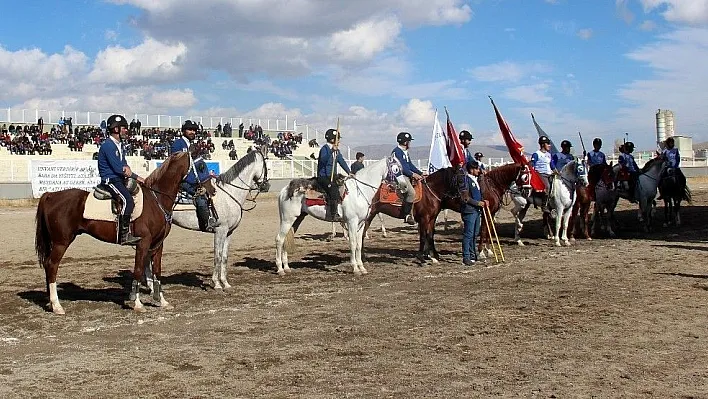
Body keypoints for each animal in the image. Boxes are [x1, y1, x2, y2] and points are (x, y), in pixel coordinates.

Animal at [34, 152, 191, 314]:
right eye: (198, 165)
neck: (155, 200)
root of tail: (51, 195)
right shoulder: (143, 243)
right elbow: (138, 270)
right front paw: (137, 303)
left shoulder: (157, 244)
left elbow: (157, 271)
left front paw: (162, 301)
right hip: (61, 242)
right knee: (52, 265)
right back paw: (57, 305)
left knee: (47, 265)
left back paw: (50, 303)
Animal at [148, 148, 270, 290]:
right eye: (266, 165)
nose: (267, 186)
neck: (229, 194)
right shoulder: (220, 231)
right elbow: (217, 256)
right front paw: (216, 283)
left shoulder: (229, 232)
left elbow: (224, 257)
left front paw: (225, 283)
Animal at [274, 158, 402, 276]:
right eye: (396, 169)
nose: (403, 185)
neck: (359, 191)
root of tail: (285, 190)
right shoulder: (352, 222)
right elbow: (353, 243)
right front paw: (355, 268)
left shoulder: (360, 224)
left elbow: (359, 245)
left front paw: (362, 268)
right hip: (287, 219)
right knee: (279, 239)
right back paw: (280, 269)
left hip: (297, 219)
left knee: (286, 239)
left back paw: (287, 267)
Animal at [366, 162, 524, 262]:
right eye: (525, 175)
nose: (524, 190)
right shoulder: (424, 218)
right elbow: (485, 231)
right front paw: (482, 252)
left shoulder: (432, 218)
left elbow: (430, 235)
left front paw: (433, 256)